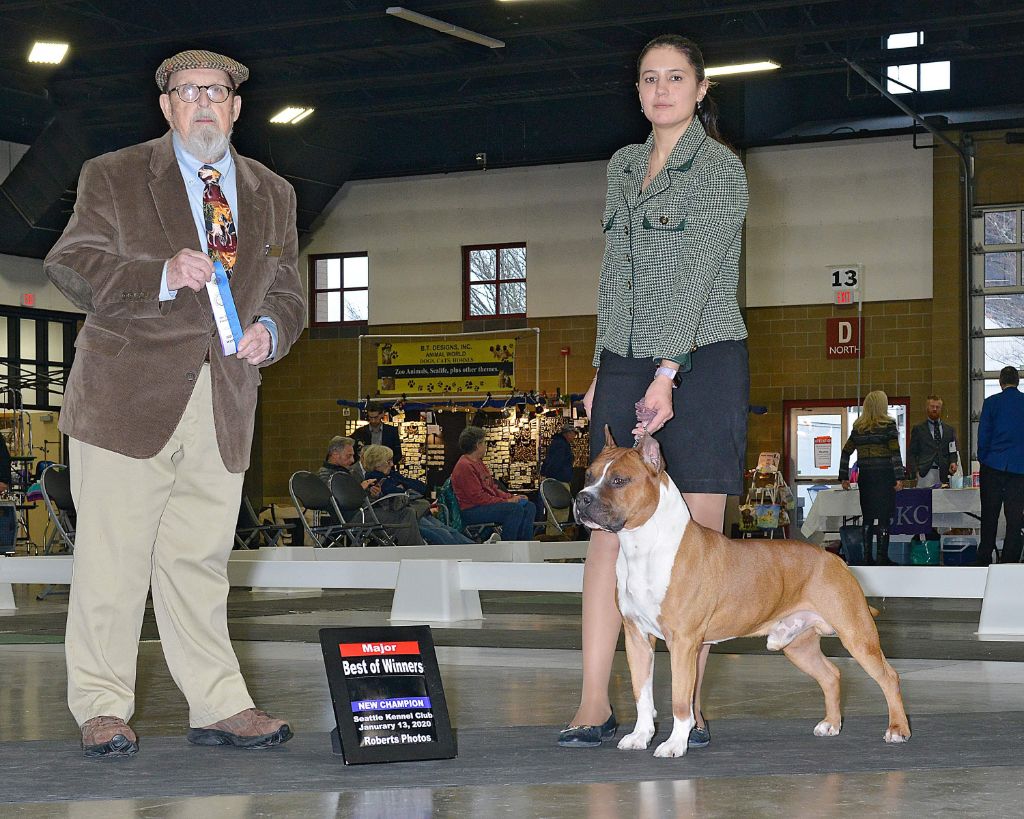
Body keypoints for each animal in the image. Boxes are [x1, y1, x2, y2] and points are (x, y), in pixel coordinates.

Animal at [573, 432, 917, 757]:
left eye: (619, 481)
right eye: (589, 476)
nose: (581, 499)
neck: (643, 546)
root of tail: (835, 559)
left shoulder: (682, 642)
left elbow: (681, 699)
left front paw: (675, 744)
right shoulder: (636, 637)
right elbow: (641, 694)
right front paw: (641, 736)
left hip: (857, 634)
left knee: (889, 677)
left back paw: (898, 730)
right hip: (797, 645)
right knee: (831, 675)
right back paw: (831, 725)